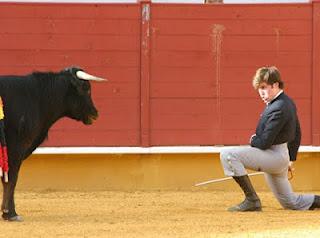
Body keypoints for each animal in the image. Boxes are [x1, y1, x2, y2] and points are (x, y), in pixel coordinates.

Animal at [0, 65, 106, 221]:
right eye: (86, 89)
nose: (95, 114)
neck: (37, 97)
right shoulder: (16, 148)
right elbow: (12, 178)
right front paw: (10, 213)